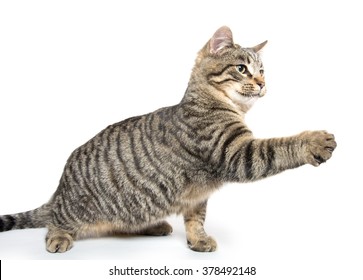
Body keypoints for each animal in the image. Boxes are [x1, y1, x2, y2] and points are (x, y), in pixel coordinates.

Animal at [0, 26, 336, 254]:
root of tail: (60, 189)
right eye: (242, 69)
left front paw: (197, 239)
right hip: (74, 210)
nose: (263, 83)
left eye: (263, 70)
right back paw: (58, 236)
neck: (216, 102)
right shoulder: (236, 153)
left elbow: (196, 219)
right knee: (55, 220)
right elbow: (280, 146)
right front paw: (314, 141)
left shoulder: (198, 195)